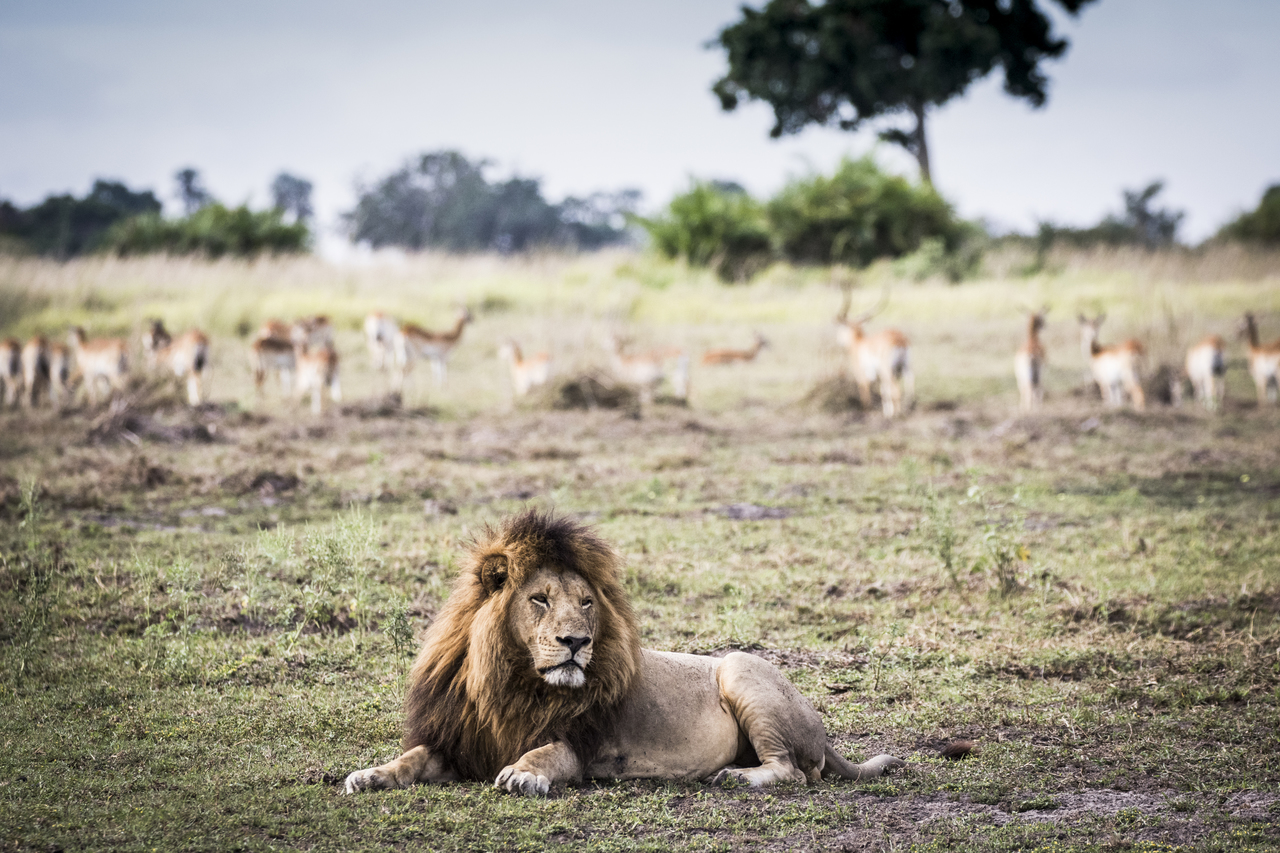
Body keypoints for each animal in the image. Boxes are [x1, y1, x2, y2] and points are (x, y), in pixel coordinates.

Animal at [345, 507, 906, 794]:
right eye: (539, 599)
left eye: (587, 602)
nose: (576, 642)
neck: (510, 682)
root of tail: (822, 729)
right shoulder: (459, 740)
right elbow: (412, 757)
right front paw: (371, 774)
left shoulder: (577, 743)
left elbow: (544, 753)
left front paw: (523, 774)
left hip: (740, 668)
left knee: (791, 769)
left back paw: (738, 776)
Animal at [834, 286, 916, 417]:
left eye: (840, 328)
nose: (838, 340)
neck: (859, 343)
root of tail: (899, 339)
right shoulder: (880, 377)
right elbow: (884, 392)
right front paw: (887, 413)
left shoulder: (862, 377)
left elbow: (866, 396)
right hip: (906, 368)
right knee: (910, 386)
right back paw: (908, 408)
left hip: (888, 371)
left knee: (897, 390)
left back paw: (898, 414)